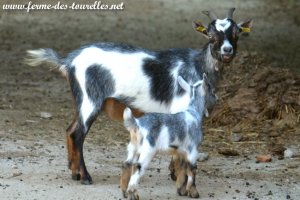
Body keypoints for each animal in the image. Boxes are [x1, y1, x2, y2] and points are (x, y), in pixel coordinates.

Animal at [25, 8, 252, 185]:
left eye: (236, 33)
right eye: (211, 35)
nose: (227, 50)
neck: (198, 65)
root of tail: (68, 61)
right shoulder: (182, 107)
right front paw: (178, 174)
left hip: (82, 101)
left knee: (70, 129)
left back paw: (74, 173)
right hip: (90, 99)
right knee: (77, 133)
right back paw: (85, 176)